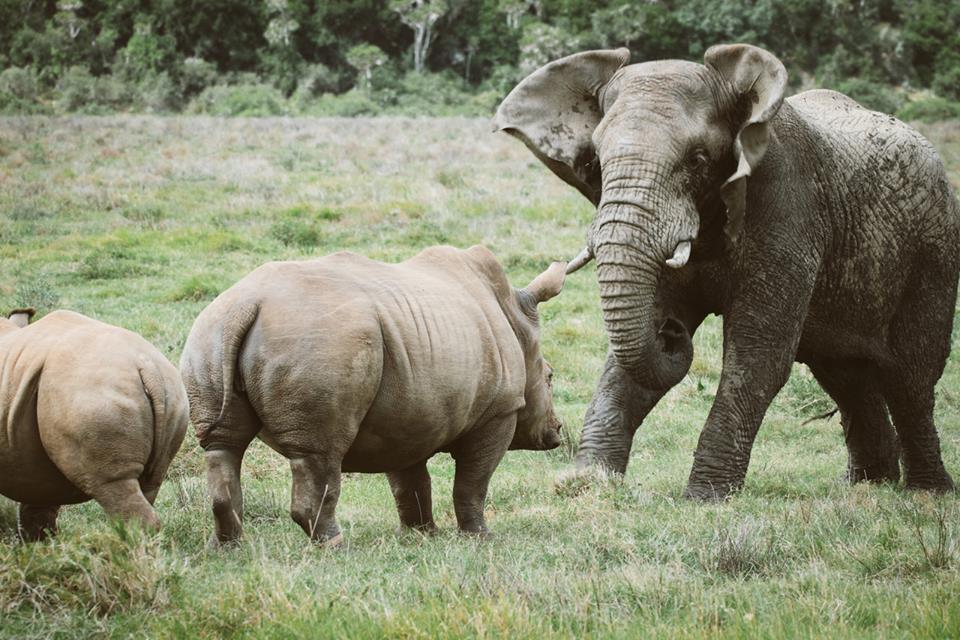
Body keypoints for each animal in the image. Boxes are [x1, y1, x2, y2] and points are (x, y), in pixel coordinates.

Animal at [0, 308, 188, 540]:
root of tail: (148, 367)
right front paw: (40, 542)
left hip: (92, 394)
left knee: (110, 483)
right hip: (174, 394)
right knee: (150, 482)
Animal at [180, 245, 567, 546]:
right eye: (550, 377)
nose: (557, 431)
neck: (515, 319)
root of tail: (247, 305)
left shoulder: (408, 415)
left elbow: (410, 483)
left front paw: (422, 535)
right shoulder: (499, 412)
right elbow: (473, 482)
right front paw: (481, 538)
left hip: (209, 334)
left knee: (223, 445)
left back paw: (228, 547)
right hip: (320, 340)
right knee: (319, 453)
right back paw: (334, 546)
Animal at [494, 44, 960, 500]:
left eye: (698, 159)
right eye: (597, 162)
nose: (672, 332)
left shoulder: (788, 208)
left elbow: (758, 354)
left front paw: (704, 498)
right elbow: (627, 361)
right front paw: (589, 484)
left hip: (934, 249)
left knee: (911, 376)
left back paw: (926, 493)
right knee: (844, 373)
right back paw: (868, 486)